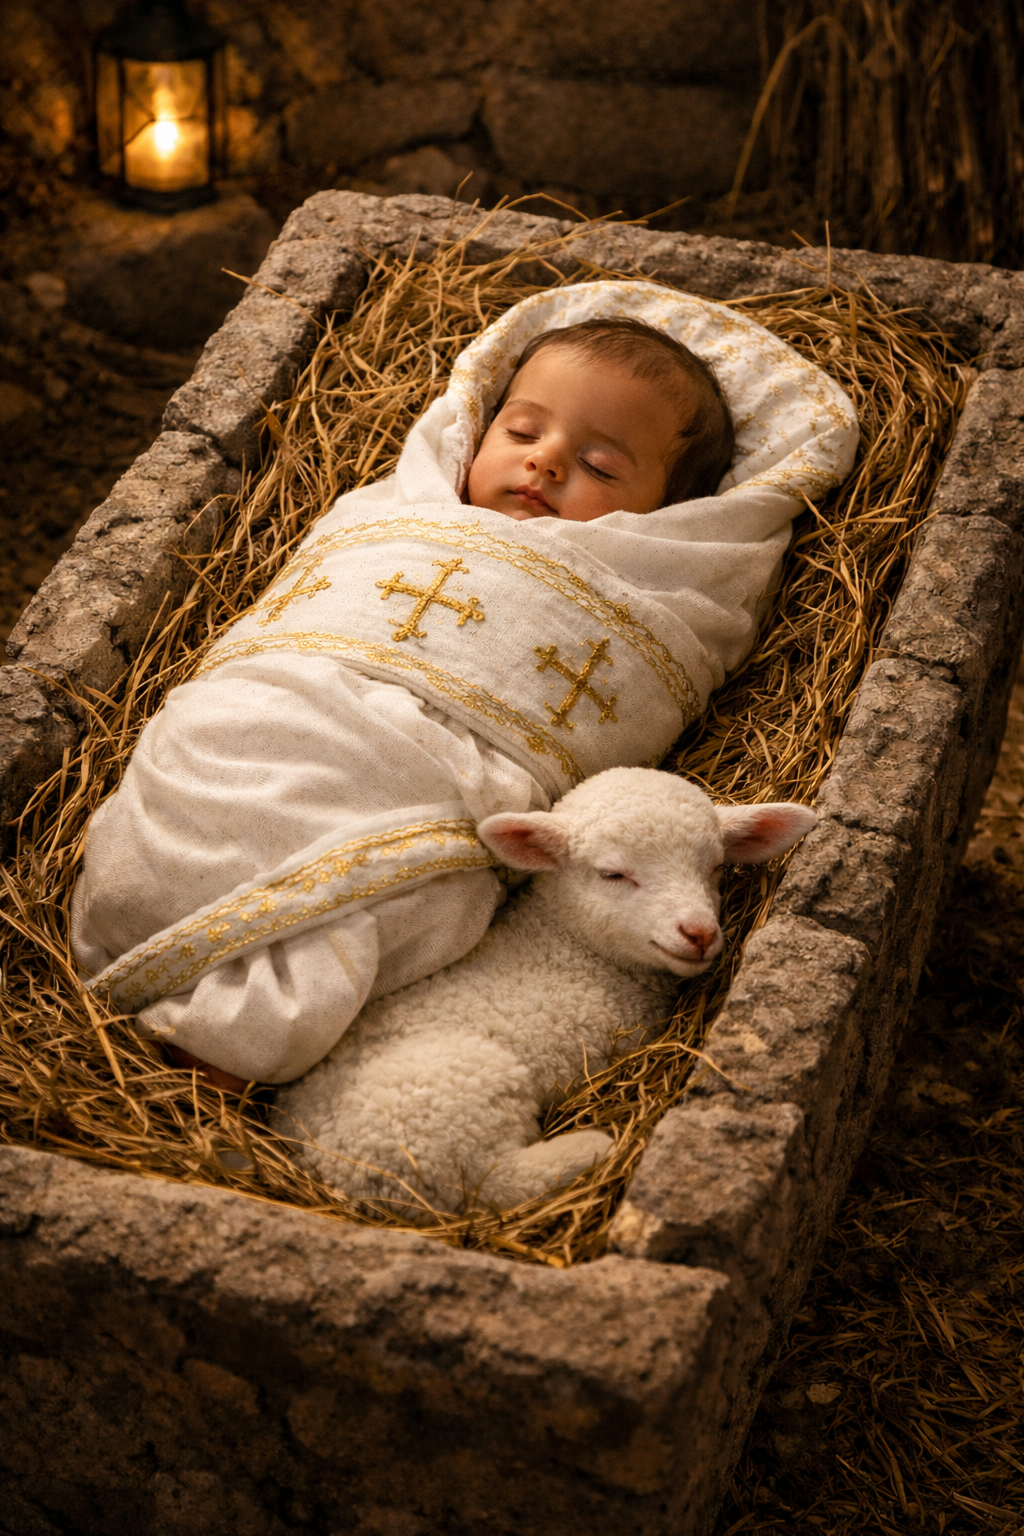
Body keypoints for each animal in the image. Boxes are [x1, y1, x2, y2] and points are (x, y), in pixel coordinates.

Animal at [273, 768, 817, 1216]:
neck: (568, 939)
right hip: (451, 1108)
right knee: (495, 1183)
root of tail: (334, 1167)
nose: (699, 933)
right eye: (613, 874)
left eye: (715, 867)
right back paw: (589, 1148)